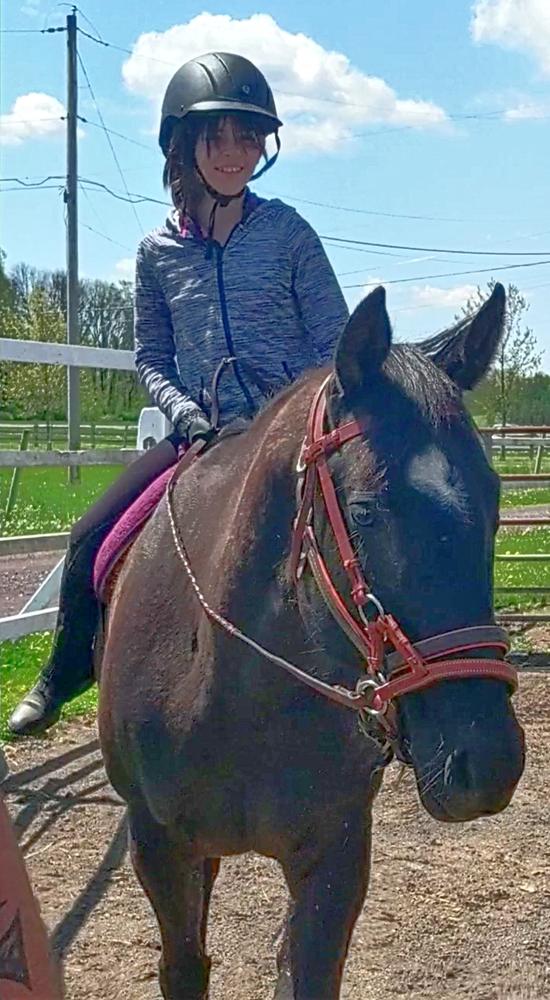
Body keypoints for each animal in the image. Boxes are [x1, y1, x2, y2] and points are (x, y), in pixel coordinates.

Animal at [98, 286, 528, 996]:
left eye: (495, 501)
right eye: (365, 510)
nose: (488, 764)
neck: (231, 694)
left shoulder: (336, 853)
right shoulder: (158, 846)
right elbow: (184, 966)